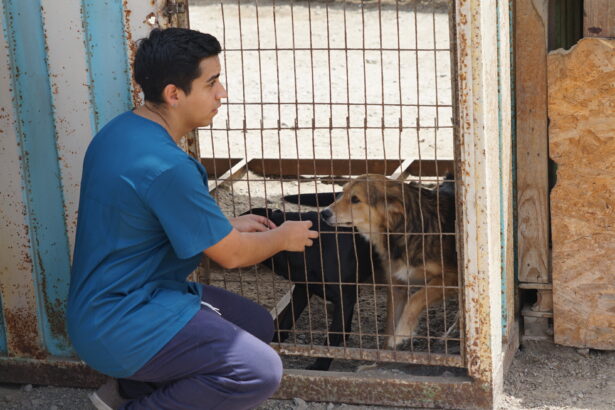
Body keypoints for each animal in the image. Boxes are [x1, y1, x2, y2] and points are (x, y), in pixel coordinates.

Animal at [322, 174, 458, 350]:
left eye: (355, 199)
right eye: (342, 193)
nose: (324, 213)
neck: (401, 233)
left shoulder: (452, 278)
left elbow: (416, 298)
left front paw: (401, 333)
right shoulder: (397, 285)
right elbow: (389, 326)